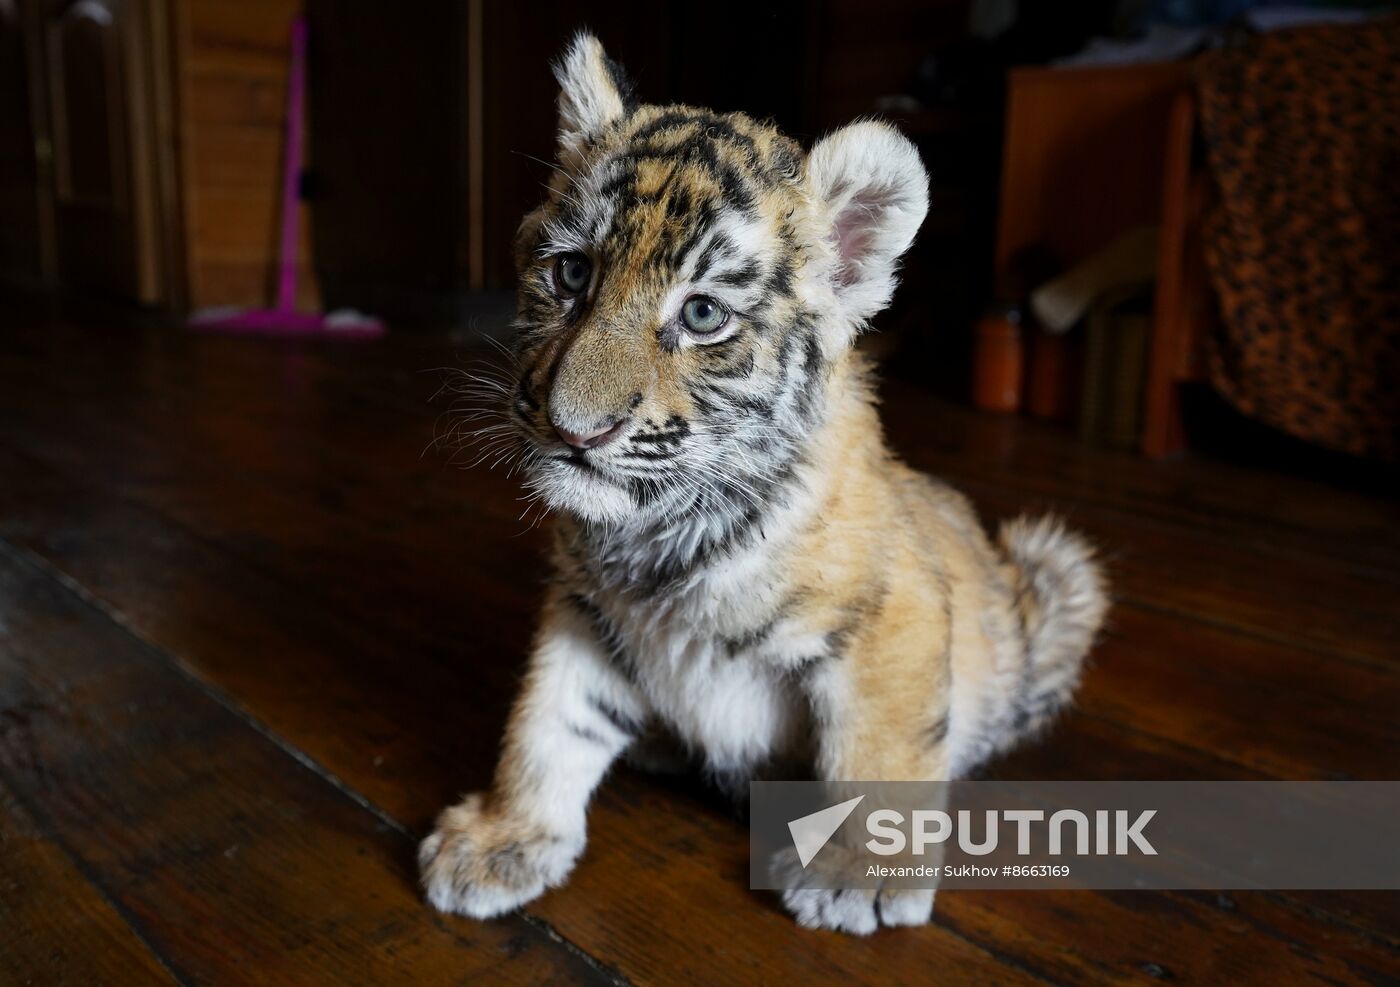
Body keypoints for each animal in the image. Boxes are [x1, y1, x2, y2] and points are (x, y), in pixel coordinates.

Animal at [419, 32, 1108, 934]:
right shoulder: (585, 608)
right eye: (571, 274)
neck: (660, 527)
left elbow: (876, 748)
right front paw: (501, 839)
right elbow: (547, 722)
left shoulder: (894, 616)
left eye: (703, 314)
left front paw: (858, 879)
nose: (576, 431)